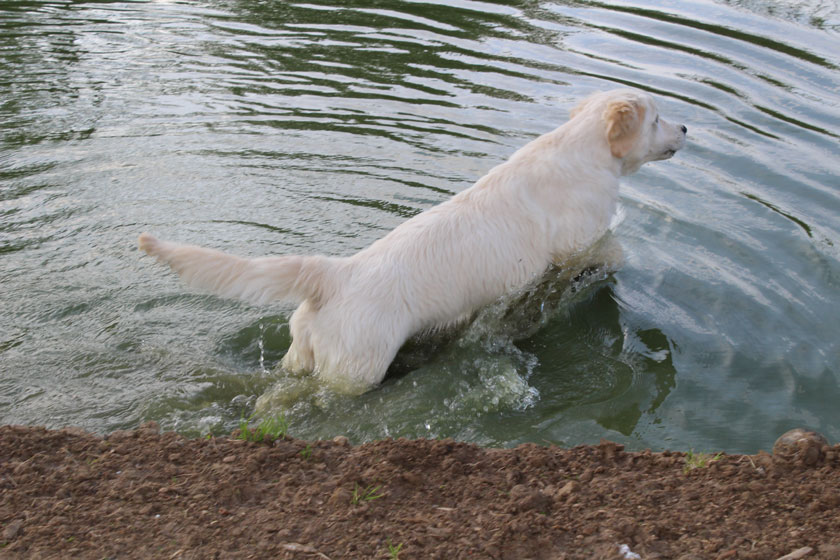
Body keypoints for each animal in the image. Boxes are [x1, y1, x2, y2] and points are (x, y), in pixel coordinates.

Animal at [141, 88, 684, 394]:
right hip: (356, 369)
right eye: (656, 118)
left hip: (306, 354)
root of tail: (334, 274)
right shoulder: (576, 245)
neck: (584, 150)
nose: (684, 126)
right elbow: (610, 253)